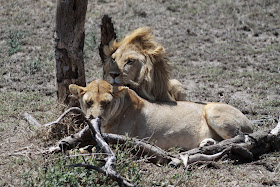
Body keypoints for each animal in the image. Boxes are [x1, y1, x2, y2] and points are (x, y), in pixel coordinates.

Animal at [69, 79, 254, 150]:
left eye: (106, 103)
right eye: (89, 102)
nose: (94, 118)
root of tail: (249, 121)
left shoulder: (121, 140)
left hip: (211, 109)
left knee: (241, 138)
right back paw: (207, 143)